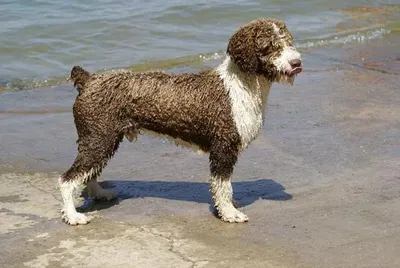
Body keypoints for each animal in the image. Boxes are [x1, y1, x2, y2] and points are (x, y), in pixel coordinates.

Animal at [58, 17, 304, 225]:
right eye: (271, 46)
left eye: (289, 42)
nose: (297, 62)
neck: (241, 84)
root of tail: (89, 79)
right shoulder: (223, 146)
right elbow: (223, 186)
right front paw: (229, 212)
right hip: (98, 138)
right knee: (67, 179)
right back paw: (73, 216)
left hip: (103, 138)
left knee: (89, 172)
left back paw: (100, 193)